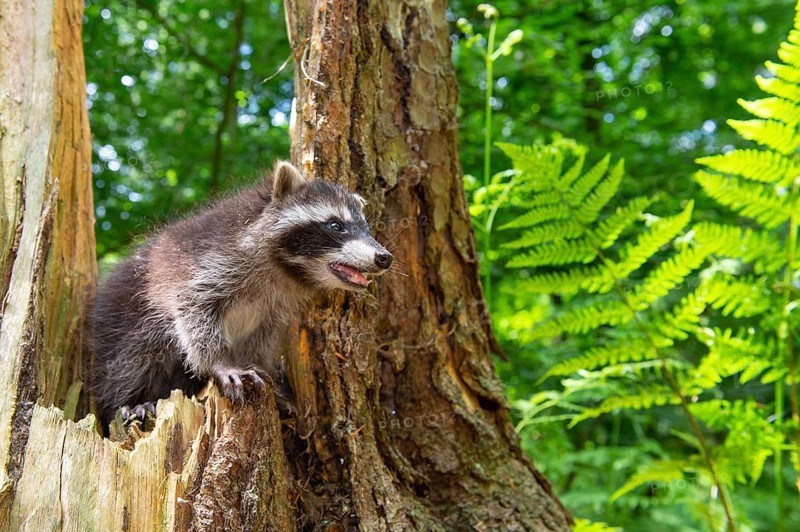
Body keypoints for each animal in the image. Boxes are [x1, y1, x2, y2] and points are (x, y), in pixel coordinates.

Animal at [90, 161, 392, 427]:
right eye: (335, 226)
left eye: (366, 229)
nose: (384, 258)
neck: (286, 270)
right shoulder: (209, 262)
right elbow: (193, 310)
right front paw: (220, 363)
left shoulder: (274, 306)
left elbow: (262, 337)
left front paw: (264, 376)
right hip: (124, 319)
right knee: (133, 359)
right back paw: (129, 401)